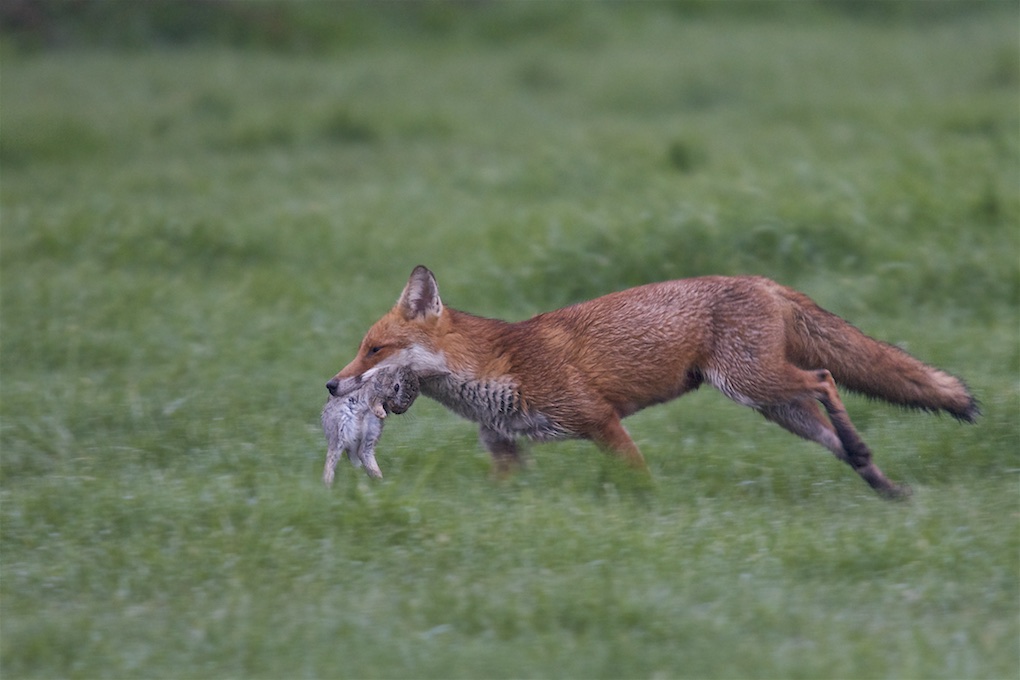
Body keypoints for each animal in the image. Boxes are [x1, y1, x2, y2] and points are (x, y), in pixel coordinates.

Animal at [326, 265, 977, 499]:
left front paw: (651, 513)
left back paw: (865, 452)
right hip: (774, 404)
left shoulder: (598, 419)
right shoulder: (505, 448)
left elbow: (638, 478)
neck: (496, 367)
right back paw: (882, 483)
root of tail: (760, 279)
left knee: (823, 377)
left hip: (752, 382)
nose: (332, 386)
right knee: (831, 435)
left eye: (374, 350)